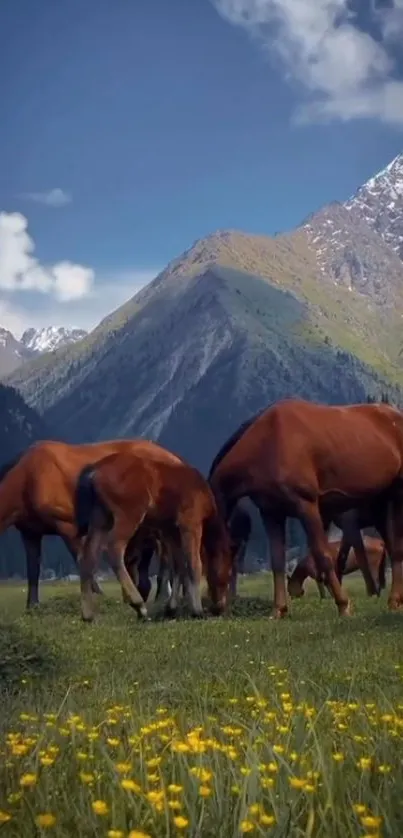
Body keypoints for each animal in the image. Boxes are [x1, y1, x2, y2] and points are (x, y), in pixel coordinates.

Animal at [0, 440, 169, 612]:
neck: (28, 478)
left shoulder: (68, 527)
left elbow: (82, 560)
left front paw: (98, 597)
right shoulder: (30, 533)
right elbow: (33, 570)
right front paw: (32, 606)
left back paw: (160, 599)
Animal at [74, 440, 232, 624]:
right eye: (227, 573)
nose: (220, 608)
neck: (200, 490)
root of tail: (95, 469)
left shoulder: (170, 531)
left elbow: (178, 565)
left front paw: (172, 608)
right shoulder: (190, 525)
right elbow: (194, 565)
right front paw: (197, 610)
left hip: (100, 519)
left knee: (88, 555)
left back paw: (88, 614)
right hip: (128, 516)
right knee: (114, 548)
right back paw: (139, 605)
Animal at [207, 398, 403, 620]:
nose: (215, 607)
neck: (269, 442)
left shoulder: (306, 506)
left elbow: (322, 555)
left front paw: (343, 605)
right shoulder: (271, 513)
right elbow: (277, 560)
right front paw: (278, 610)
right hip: (384, 501)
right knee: (393, 547)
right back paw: (395, 601)